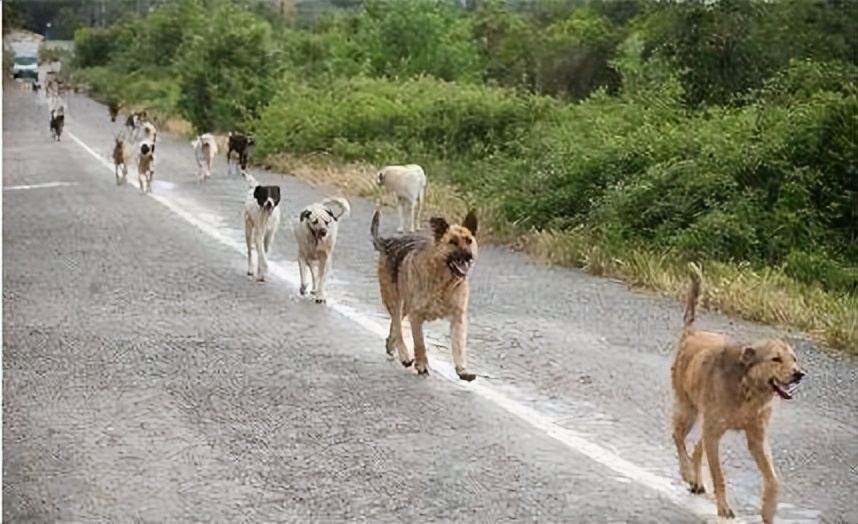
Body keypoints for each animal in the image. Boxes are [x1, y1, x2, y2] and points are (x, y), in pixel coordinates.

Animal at [366, 205, 478, 380]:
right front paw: (422, 364)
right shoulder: (416, 316)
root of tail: (389, 242)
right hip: (395, 301)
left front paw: (462, 369)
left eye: (469, 240)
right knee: (397, 326)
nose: (468, 255)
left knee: (394, 327)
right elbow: (420, 343)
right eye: (452, 242)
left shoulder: (458, 317)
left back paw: (391, 345)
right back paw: (404, 355)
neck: (443, 282)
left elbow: (459, 345)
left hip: (404, 306)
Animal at [668, 264, 804, 524]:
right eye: (776, 359)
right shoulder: (714, 432)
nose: (800, 374)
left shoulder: (757, 438)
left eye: (794, 359)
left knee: (696, 447)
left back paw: (696, 479)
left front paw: (768, 511)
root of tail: (691, 333)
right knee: (678, 438)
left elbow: (773, 480)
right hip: (688, 411)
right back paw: (687, 473)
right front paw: (723, 508)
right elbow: (719, 475)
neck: (747, 390)